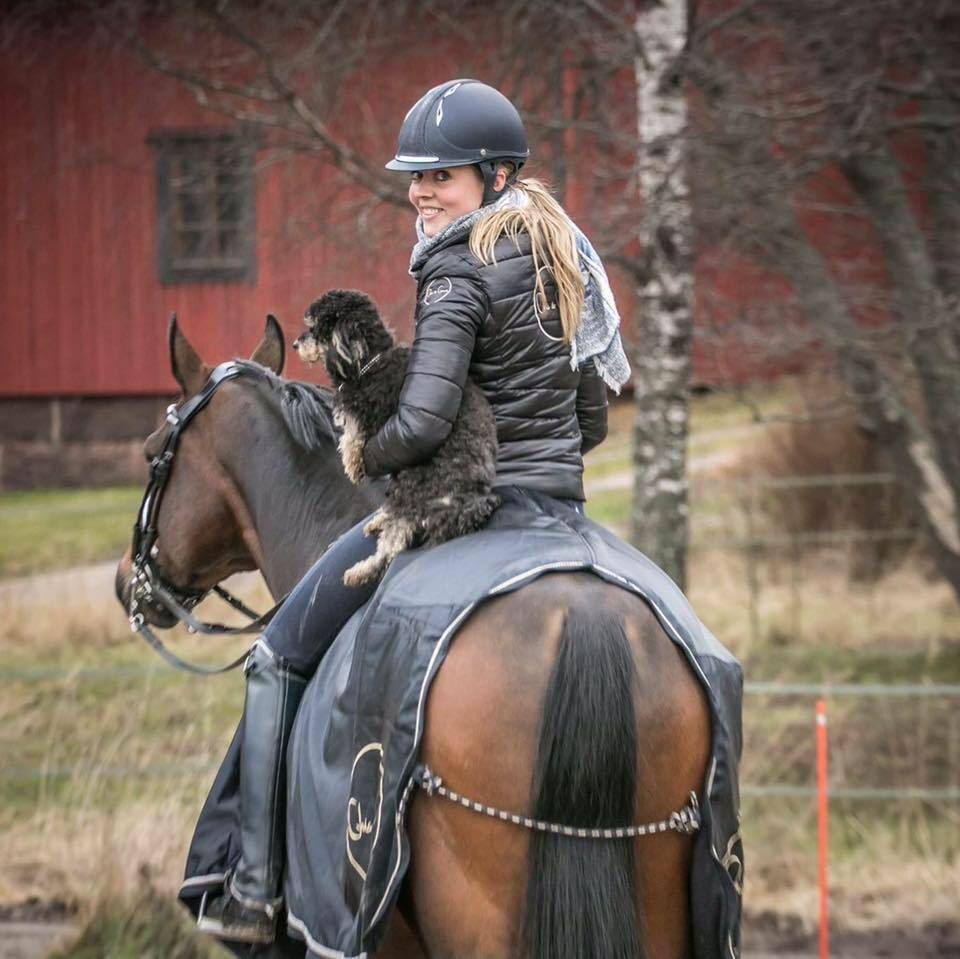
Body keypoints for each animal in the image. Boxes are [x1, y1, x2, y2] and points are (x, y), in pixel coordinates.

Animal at [292, 286, 502, 584]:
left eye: (314, 328)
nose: (295, 344)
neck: (371, 361)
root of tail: (466, 503)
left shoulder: (365, 417)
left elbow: (351, 438)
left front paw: (352, 463)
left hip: (411, 484)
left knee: (394, 543)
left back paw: (361, 571)